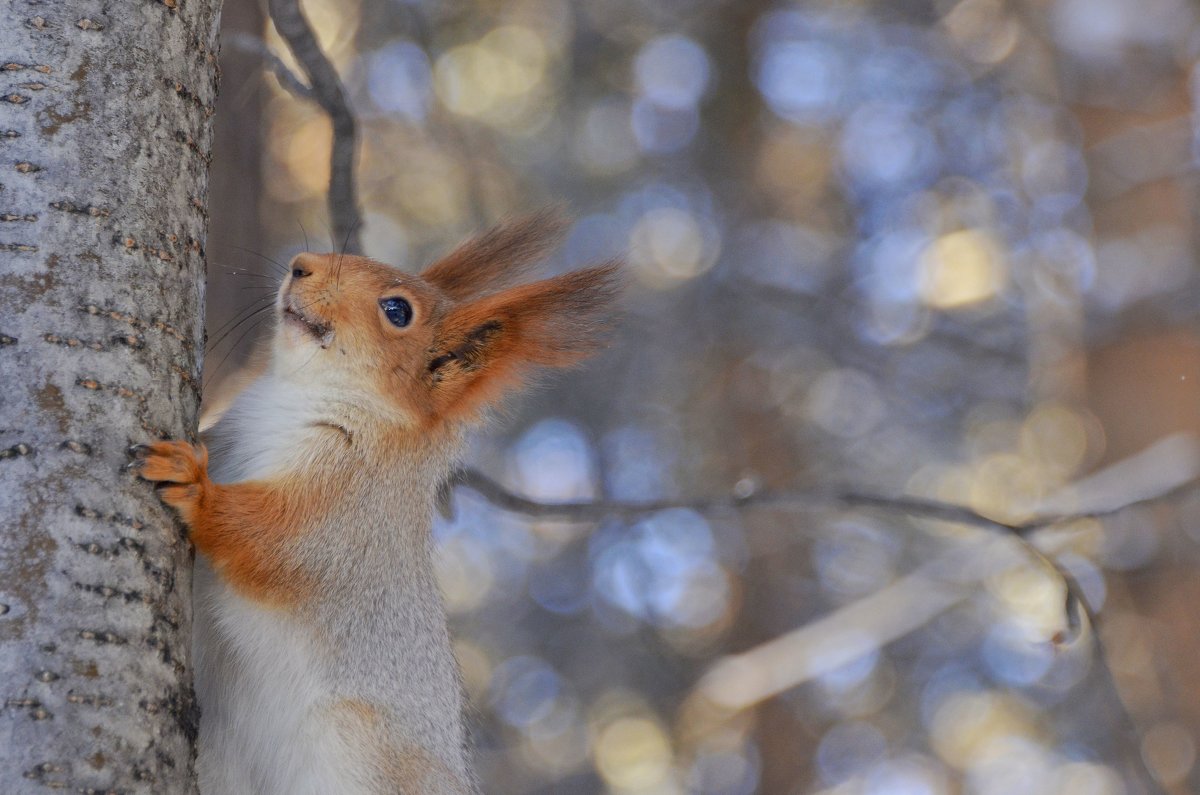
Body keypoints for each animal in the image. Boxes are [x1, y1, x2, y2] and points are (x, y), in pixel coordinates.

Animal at [137, 213, 624, 795]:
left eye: (397, 311)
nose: (301, 264)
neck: (294, 395)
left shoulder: (350, 506)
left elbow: (273, 540)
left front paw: (195, 486)